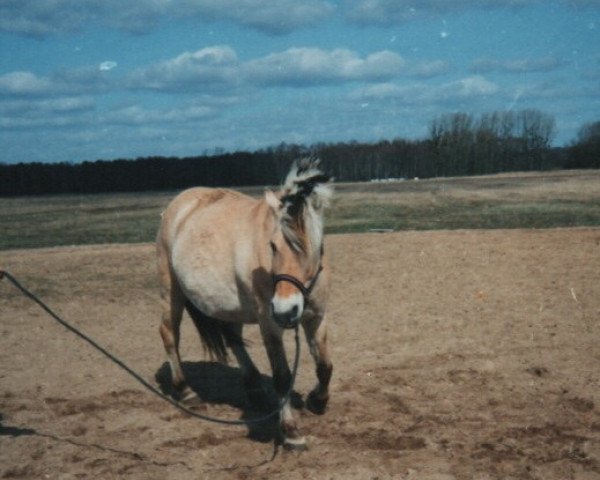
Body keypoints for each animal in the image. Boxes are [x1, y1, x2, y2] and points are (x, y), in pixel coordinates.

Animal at [156, 159, 332, 448]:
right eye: (273, 245)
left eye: (314, 246)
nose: (286, 310)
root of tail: (181, 202)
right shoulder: (269, 323)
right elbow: (282, 376)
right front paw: (291, 431)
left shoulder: (316, 317)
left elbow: (325, 366)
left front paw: (317, 401)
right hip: (171, 291)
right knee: (170, 334)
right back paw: (186, 391)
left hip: (229, 306)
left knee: (233, 338)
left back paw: (254, 389)